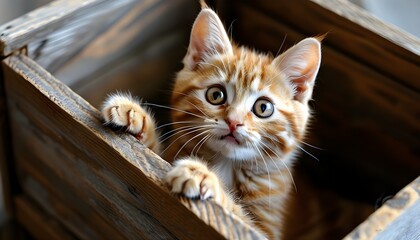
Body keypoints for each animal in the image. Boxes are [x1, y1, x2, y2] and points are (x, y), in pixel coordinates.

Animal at [101, 3, 322, 238]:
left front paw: (202, 176)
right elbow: (151, 155)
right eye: (216, 95)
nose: (233, 121)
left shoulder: (268, 229)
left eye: (263, 108)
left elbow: (240, 220)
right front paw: (134, 116)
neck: (226, 163)